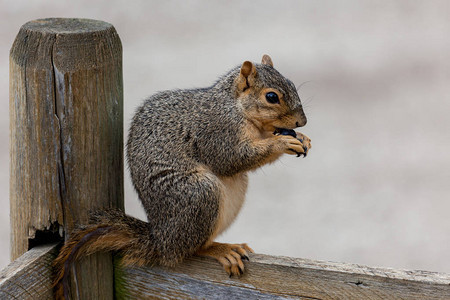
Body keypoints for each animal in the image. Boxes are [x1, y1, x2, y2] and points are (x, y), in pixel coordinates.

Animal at [52, 54, 312, 298]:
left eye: (292, 84)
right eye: (271, 97)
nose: (302, 121)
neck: (234, 106)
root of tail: (160, 240)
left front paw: (302, 138)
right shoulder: (216, 131)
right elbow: (231, 158)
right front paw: (282, 142)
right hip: (200, 194)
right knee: (188, 250)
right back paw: (220, 250)